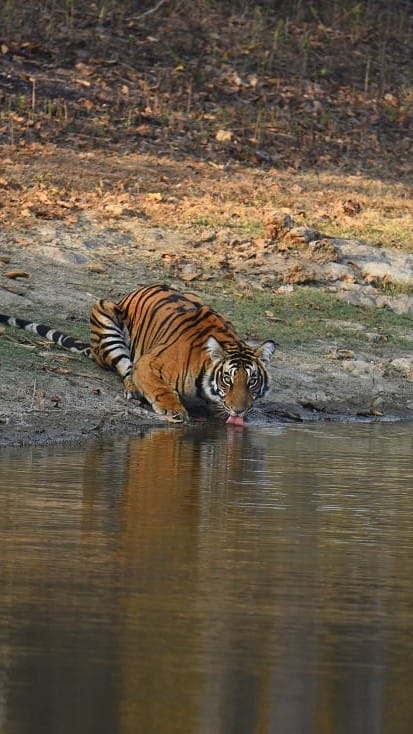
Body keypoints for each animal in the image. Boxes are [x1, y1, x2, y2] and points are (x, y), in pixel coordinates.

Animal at [0, 284, 276, 424]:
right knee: (125, 368)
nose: (240, 411)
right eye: (228, 379)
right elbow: (159, 387)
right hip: (105, 313)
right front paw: (173, 409)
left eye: (252, 381)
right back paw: (134, 390)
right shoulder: (148, 364)